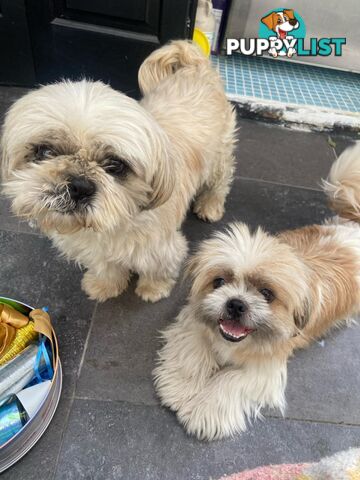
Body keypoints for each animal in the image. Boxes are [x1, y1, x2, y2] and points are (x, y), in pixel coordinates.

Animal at [0, 42, 236, 304]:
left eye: (115, 165)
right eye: (45, 151)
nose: (79, 185)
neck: (113, 224)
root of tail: (195, 65)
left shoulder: (160, 249)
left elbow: (157, 270)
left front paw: (153, 289)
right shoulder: (98, 253)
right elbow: (107, 268)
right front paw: (104, 286)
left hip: (219, 158)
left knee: (220, 183)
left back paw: (210, 206)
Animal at [155, 143, 360, 442]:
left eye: (267, 293)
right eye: (219, 282)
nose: (236, 303)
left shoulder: (264, 370)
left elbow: (229, 381)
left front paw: (203, 410)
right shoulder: (193, 322)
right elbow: (193, 352)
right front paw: (180, 388)